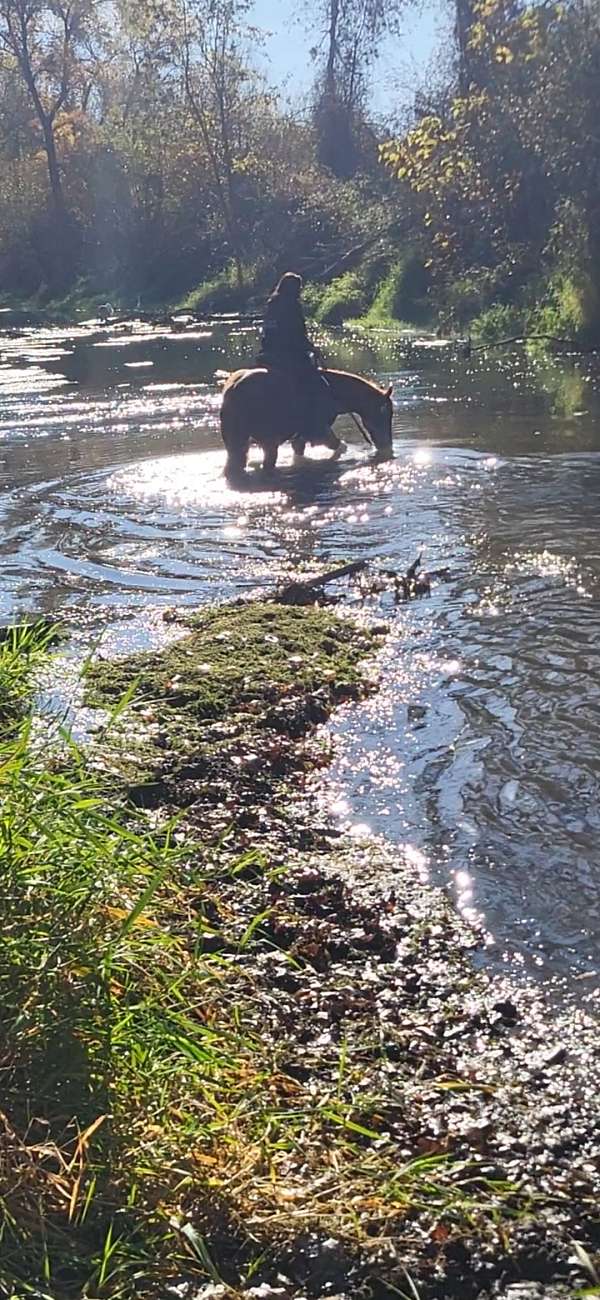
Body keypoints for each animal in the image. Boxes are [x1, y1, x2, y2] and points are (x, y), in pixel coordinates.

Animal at [219, 366, 394, 478]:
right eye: (385, 413)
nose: (386, 446)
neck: (333, 391)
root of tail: (234, 387)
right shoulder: (319, 431)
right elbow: (339, 447)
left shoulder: (301, 437)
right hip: (268, 442)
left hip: (239, 443)